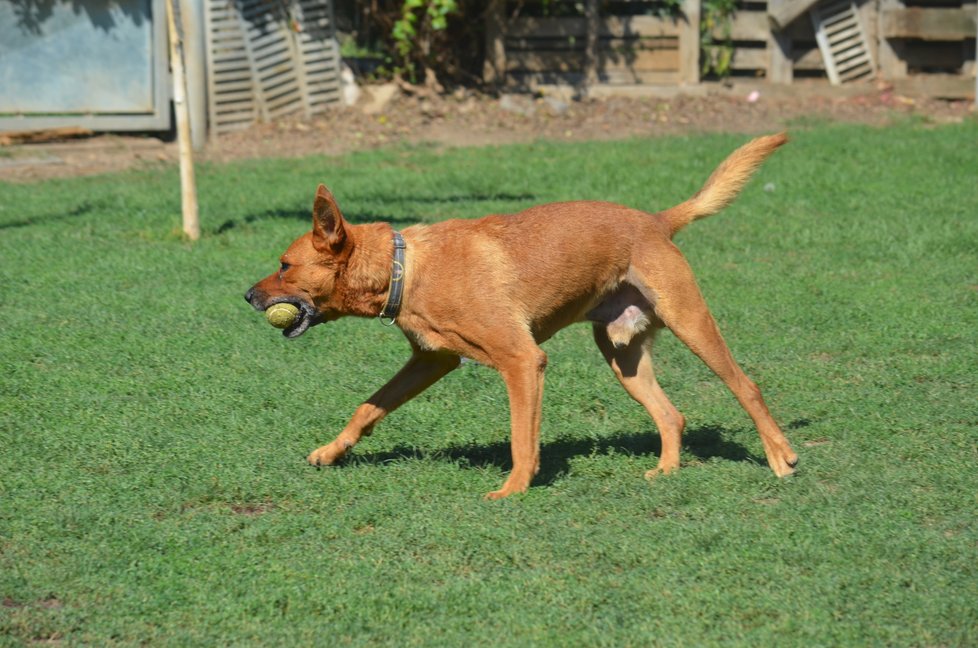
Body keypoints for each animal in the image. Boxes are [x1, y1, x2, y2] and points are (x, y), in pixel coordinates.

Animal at [242, 134, 792, 498]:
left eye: (284, 265)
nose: (246, 295)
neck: (406, 268)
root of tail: (658, 221)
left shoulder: (523, 361)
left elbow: (521, 438)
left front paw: (513, 491)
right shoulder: (431, 360)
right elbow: (368, 407)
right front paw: (330, 452)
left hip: (689, 321)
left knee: (746, 386)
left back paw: (781, 457)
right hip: (622, 354)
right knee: (672, 415)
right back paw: (667, 471)